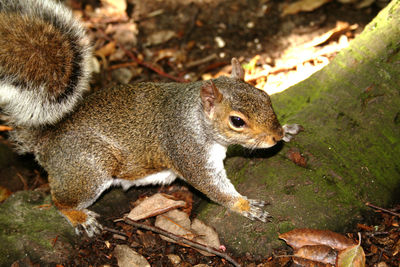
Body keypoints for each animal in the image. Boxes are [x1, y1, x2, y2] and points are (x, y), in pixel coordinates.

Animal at [0, 0, 300, 238]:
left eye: (265, 96)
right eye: (237, 121)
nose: (274, 136)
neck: (194, 116)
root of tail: (45, 140)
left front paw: (287, 129)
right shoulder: (188, 151)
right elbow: (213, 188)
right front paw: (246, 206)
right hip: (90, 169)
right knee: (60, 201)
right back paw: (81, 217)